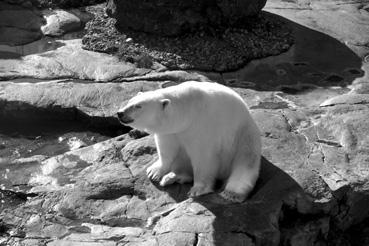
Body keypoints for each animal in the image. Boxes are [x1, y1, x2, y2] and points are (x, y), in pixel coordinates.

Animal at [116, 80, 260, 202]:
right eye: (130, 101)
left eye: (138, 106)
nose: (120, 113)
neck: (189, 110)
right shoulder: (171, 131)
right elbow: (166, 149)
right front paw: (154, 172)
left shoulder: (202, 126)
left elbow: (203, 158)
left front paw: (198, 189)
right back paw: (173, 176)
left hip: (244, 135)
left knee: (245, 162)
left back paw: (232, 193)